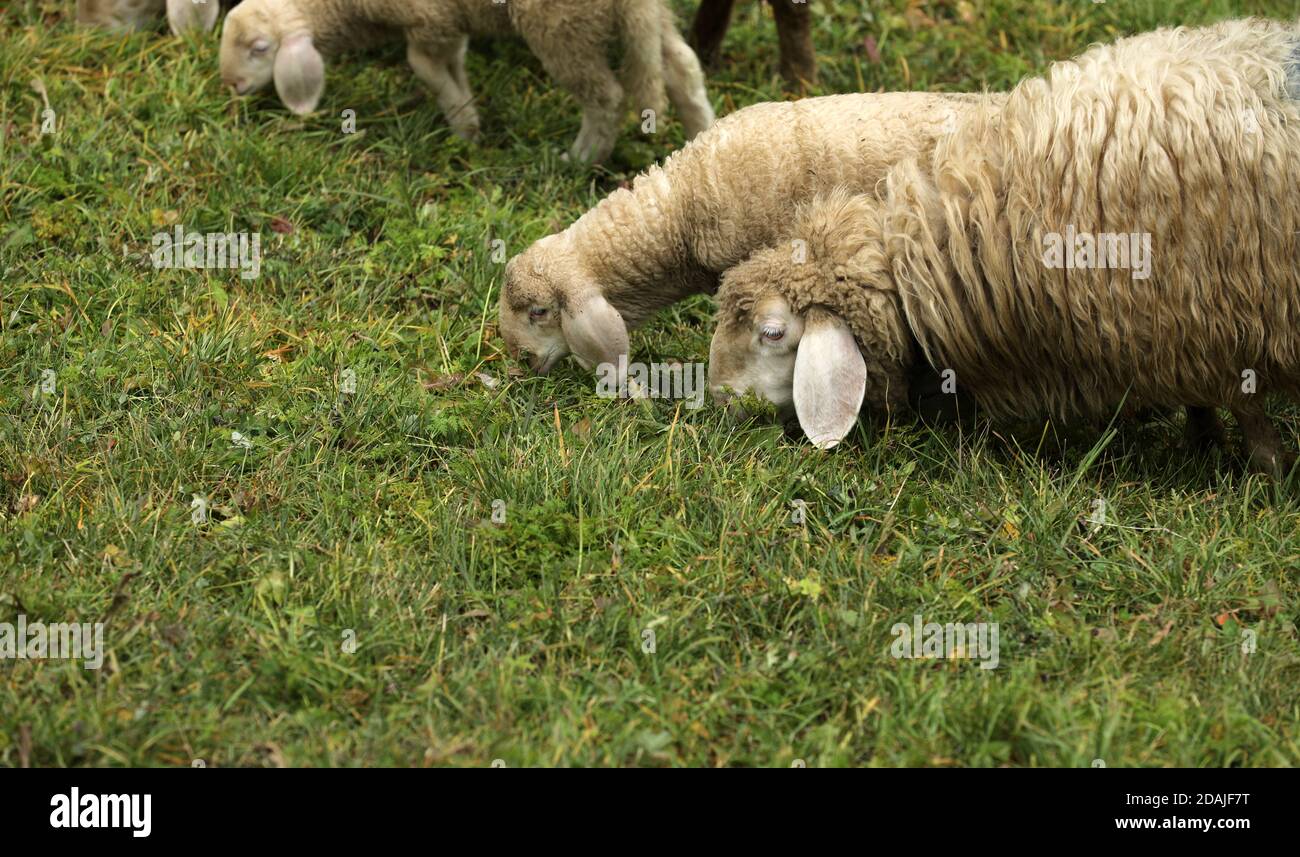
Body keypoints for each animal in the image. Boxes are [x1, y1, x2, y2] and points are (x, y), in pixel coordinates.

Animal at [218, 0, 715, 164]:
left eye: (260, 48)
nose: (232, 86)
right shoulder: (446, 22)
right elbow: (454, 63)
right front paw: (469, 123)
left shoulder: (426, 21)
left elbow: (425, 68)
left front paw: (463, 128)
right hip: (646, 19)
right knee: (683, 66)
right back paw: (704, 139)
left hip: (561, 26)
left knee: (605, 96)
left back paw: (579, 159)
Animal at [709, 18, 1300, 475]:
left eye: (772, 332)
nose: (715, 401)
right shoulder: (1181, 330)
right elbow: (1202, 400)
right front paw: (1204, 442)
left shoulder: (1222, 316)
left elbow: (1247, 410)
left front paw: (1267, 474)